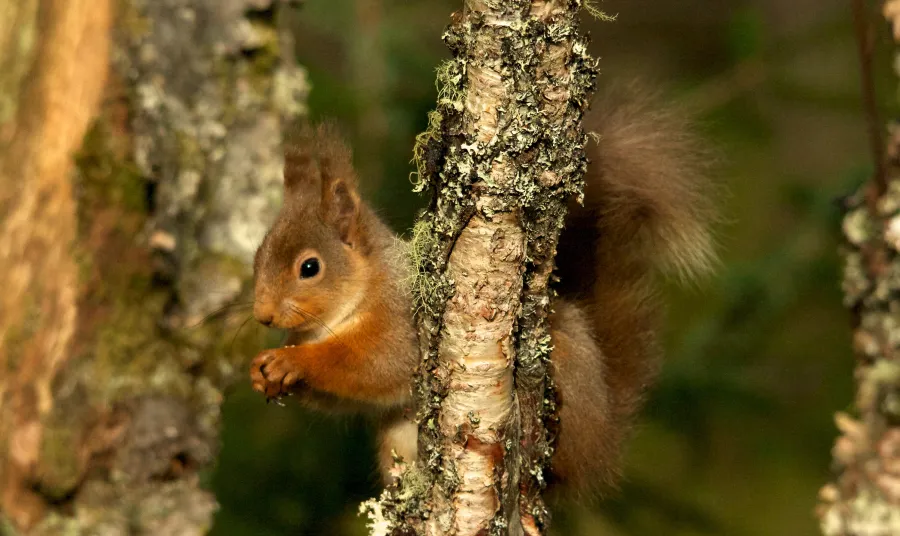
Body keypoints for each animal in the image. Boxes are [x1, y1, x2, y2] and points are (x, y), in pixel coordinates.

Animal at [249, 85, 717, 494]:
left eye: (310, 268)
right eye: (257, 258)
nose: (262, 315)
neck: (341, 311)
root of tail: (601, 447)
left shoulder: (401, 319)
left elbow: (376, 364)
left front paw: (294, 361)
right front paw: (263, 373)